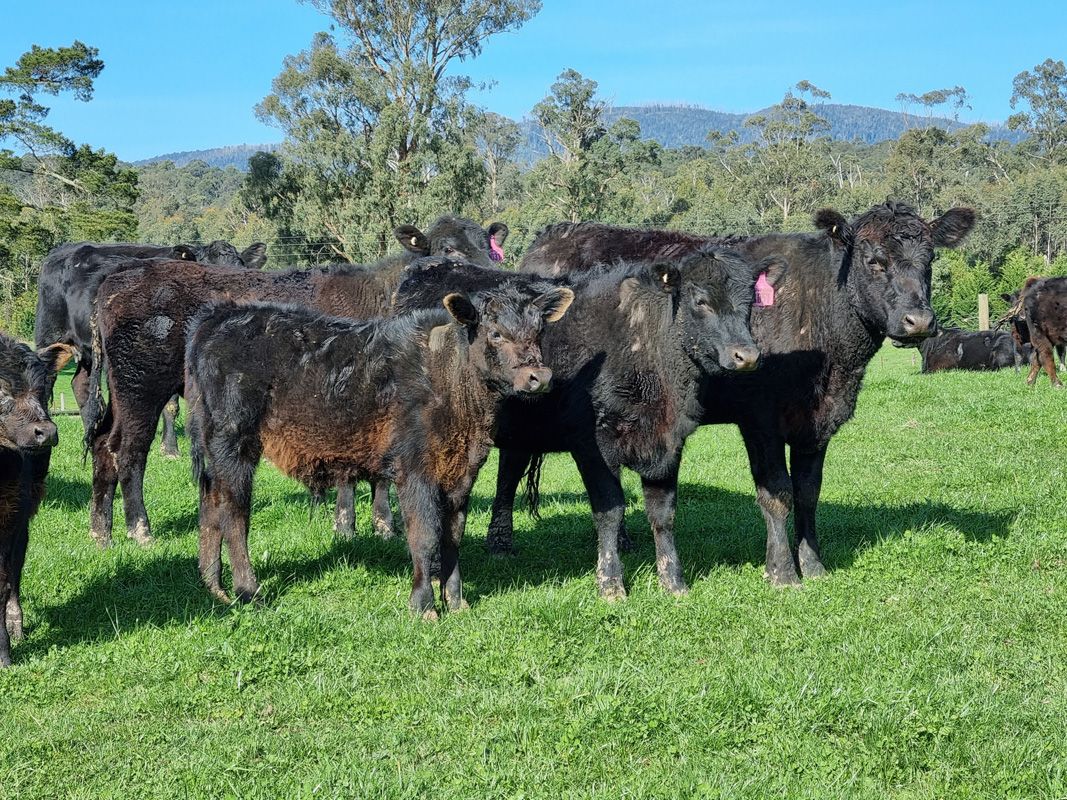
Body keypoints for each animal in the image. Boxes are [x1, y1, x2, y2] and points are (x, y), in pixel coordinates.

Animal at [83, 217, 508, 548]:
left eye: (490, 249)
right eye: (449, 250)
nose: (493, 286)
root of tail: (119, 277)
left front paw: (383, 525)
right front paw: (346, 525)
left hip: (122, 389)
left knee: (103, 442)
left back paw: (101, 532)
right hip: (141, 384)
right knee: (129, 449)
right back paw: (140, 530)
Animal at [183, 279, 573, 616]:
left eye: (539, 331)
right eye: (495, 333)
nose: (539, 377)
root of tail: (223, 314)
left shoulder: (463, 472)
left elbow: (452, 536)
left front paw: (456, 602)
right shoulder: (414, 469)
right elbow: (424, 536)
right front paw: (424, 606)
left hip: (214, 445)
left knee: (210, 502)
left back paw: (214, 586)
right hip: (234, 441)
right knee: (234, 513)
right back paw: (248, 591)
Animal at [394, 250, 775, 599]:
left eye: (749, 303)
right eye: (701, 301)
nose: (747, 356)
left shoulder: (668, 444)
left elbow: (663, 514)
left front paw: (673, 582)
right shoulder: (594, 444)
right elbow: (609, 508)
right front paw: (610, 583)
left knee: (509, 473)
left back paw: (500, 542)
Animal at [508, 201, 975, 587]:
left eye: (930, 259)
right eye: (874, 260)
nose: (919, 321)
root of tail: (553, 235)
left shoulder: (816, 422)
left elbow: (808, 492)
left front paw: (814, 566)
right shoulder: (761, 418)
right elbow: (777, 494)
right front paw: (782, 572)